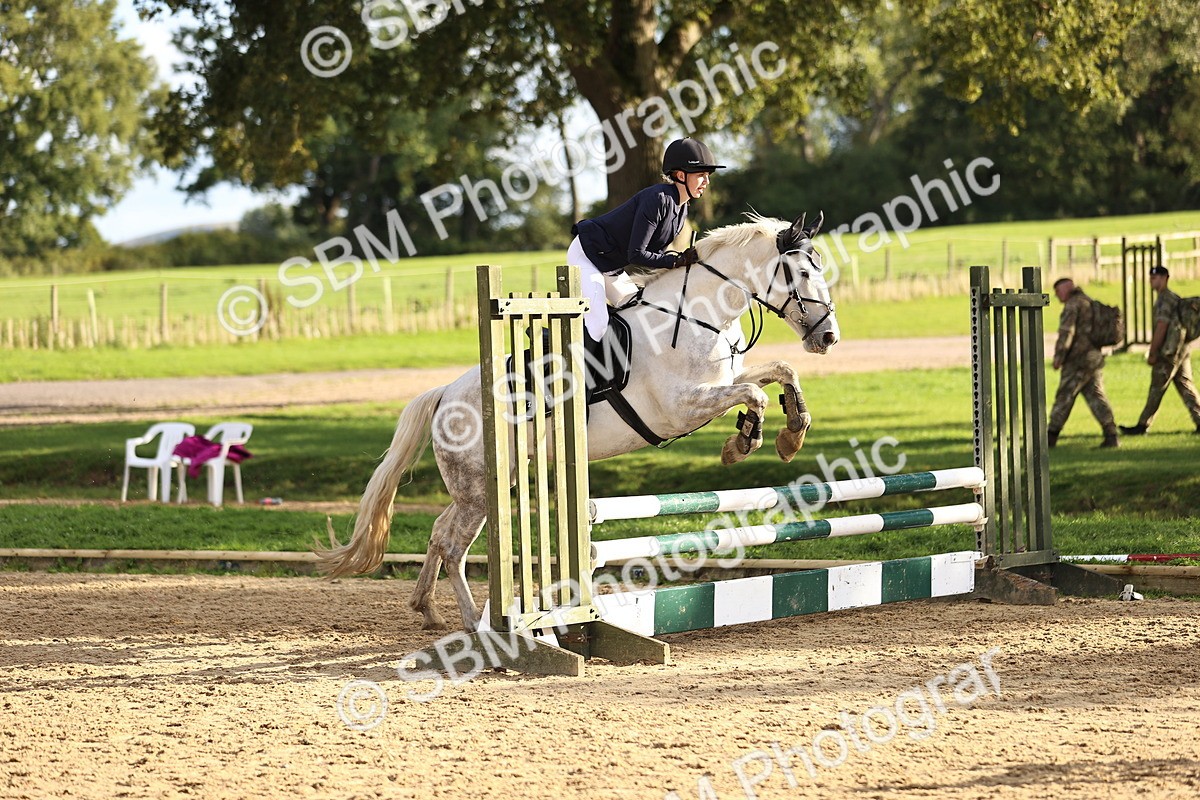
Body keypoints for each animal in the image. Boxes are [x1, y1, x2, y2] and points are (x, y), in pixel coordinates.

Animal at [315, 212, 840, 632]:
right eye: (801, 272)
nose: (829, 338)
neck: (697, 315)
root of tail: (446, 393)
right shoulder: (681, 407)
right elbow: (755, 394)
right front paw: (745, 442)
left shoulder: (722, 380)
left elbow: (779, 373)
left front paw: (791, 434)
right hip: (481, 489)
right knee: (452, 543)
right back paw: (471, 621)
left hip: (486, 484)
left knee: (439, 531)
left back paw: (426, 610)